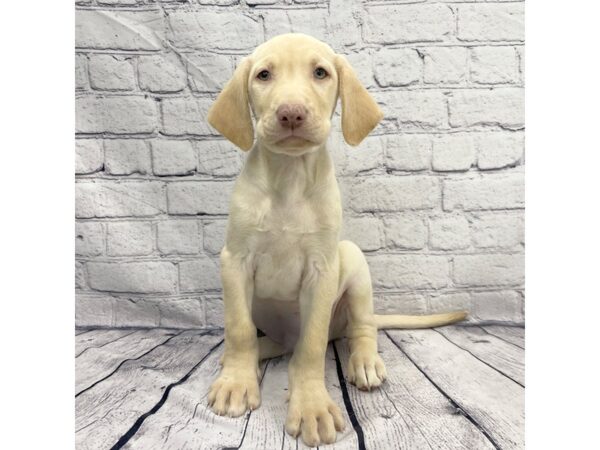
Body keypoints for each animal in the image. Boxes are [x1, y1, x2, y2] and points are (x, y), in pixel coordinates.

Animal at [207, 33, 468, 444]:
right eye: (263, 75)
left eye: (320, 73)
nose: (292, 113)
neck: (289, 179)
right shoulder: (234, 260)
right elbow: (239, 329)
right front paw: (236, 381)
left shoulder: (321, 270)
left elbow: (313, 347)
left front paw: (312, 405)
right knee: (277, 343)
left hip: (354, 265)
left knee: (359, 329)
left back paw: (364, 362)